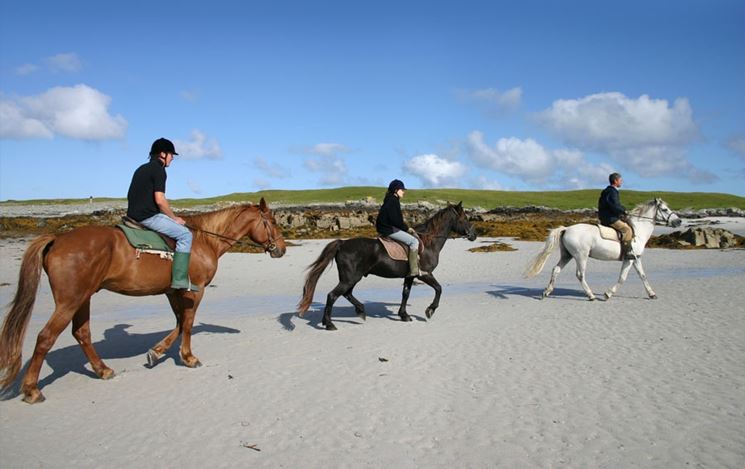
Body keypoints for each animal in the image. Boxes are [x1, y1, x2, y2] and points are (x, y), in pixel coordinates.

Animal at [0, 197, 284, 402]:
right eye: (272, 221)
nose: (281, 249)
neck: (204, 240)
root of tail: (57, 239)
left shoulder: (173, 292)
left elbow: (179, 323)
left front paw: (157, 352)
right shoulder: (194, 291)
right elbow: (188, 323)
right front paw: (188, 357)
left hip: (82, 299)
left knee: (82, 333)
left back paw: (102, 370)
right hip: (69, 302)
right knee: (45, 337)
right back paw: (32, 390)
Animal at [298, 201, 476, 330]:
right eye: (465, 219)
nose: (474, 235)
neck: (428, 242)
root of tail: (342, 243)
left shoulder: (410, 276)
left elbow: (405, 294)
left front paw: (404, 315)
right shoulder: (425, 274)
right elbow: (439, 289)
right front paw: (430, 310)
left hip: (352, 278)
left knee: (346, 294)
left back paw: (360, 311)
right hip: (350, 278)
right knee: (333, 295)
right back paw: (329, 324)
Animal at [524, 197, 680, 300]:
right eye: (665, 209)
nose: (678, 221)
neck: (638, 230)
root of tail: (566, 229)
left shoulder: (635, 259)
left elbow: (642, 275)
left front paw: (652, 294)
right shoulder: (629, 259)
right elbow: (622, 278)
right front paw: (608, 294)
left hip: (567, 255)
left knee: (556, 270)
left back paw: (546, 292)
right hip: (581, 256)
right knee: (580, 275)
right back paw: (591, 295)